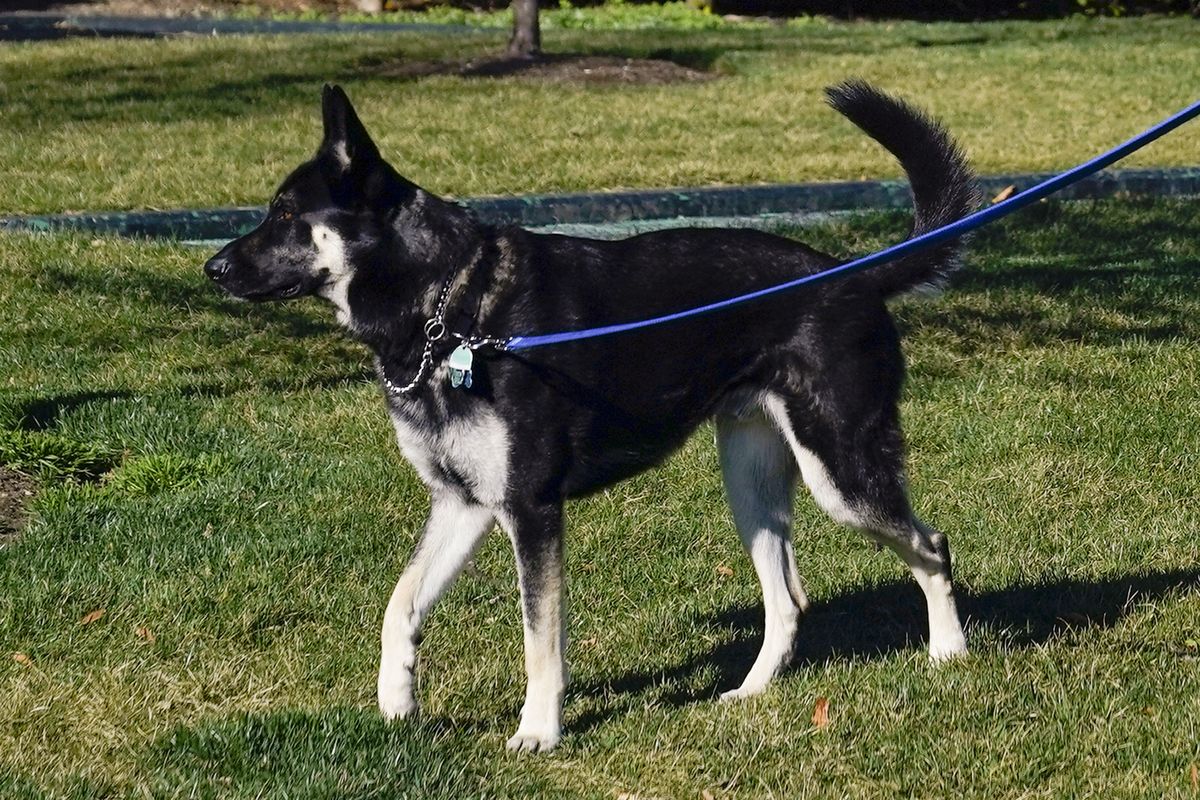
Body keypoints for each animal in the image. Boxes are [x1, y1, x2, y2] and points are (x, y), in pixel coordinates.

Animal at [204, 81, 974, 753]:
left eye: (284, 214)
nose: (213, 269)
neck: (448, 304)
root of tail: (856, 276)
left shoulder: (530, 509)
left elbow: (539, 640)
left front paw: (539, 733)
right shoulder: (461, 503)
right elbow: (401, 608)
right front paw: (397, 704)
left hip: (842, 474)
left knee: (931, 547)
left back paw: (949, 653)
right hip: (751, 484)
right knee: (788, 600)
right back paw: (748, 694)